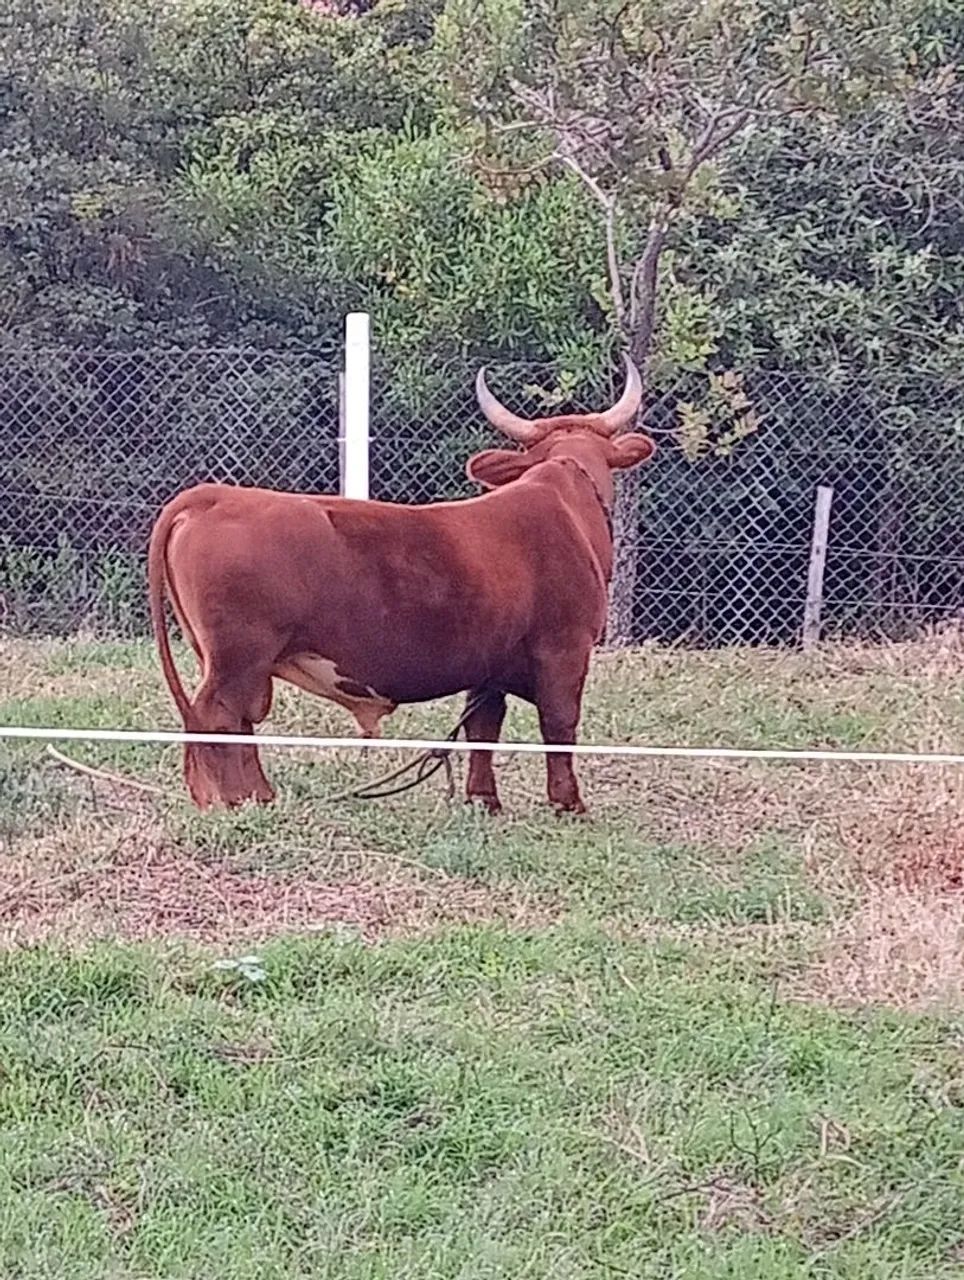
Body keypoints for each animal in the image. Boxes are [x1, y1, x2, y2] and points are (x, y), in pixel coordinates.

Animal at [147, 356, 655, 815]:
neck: (563, 497)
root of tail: (215, 495)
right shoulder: (565, 648)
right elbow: (560, 724)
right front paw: (569, 803)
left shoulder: (489, 665)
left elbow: (483, 728)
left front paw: (483, 800)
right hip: (240, 654)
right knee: (219, 715)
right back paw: (233, 799)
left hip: (227, 657)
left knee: (236, 720)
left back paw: (256, 796)